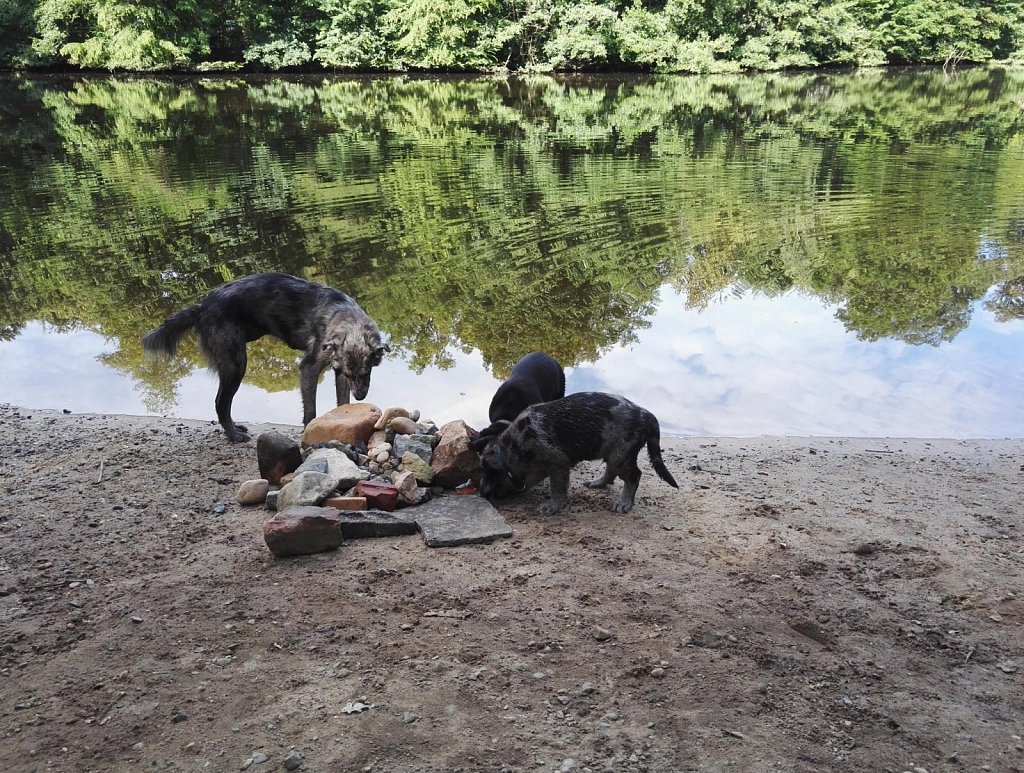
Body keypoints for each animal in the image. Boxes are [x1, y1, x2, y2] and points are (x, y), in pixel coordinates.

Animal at [140, 272, 387, 442]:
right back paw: (233, 435)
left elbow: (342, 402)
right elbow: (310, 409)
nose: (361, 396)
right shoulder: (309, 367)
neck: (344, 316)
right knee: (221, 403)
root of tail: (201, 307)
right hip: (235, 364)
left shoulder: (338, 372)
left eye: (366, 372)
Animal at [475, 393, 675, 513]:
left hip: (621, 455)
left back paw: (624, 503)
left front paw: (552, 506)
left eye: (486, 471)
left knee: (634, 476)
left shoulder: (559, 463)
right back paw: (598, 483)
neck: (512, 447)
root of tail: (648, 415)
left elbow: (557, 488)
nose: (482, 494)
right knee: (611, 471)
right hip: (612, 451)